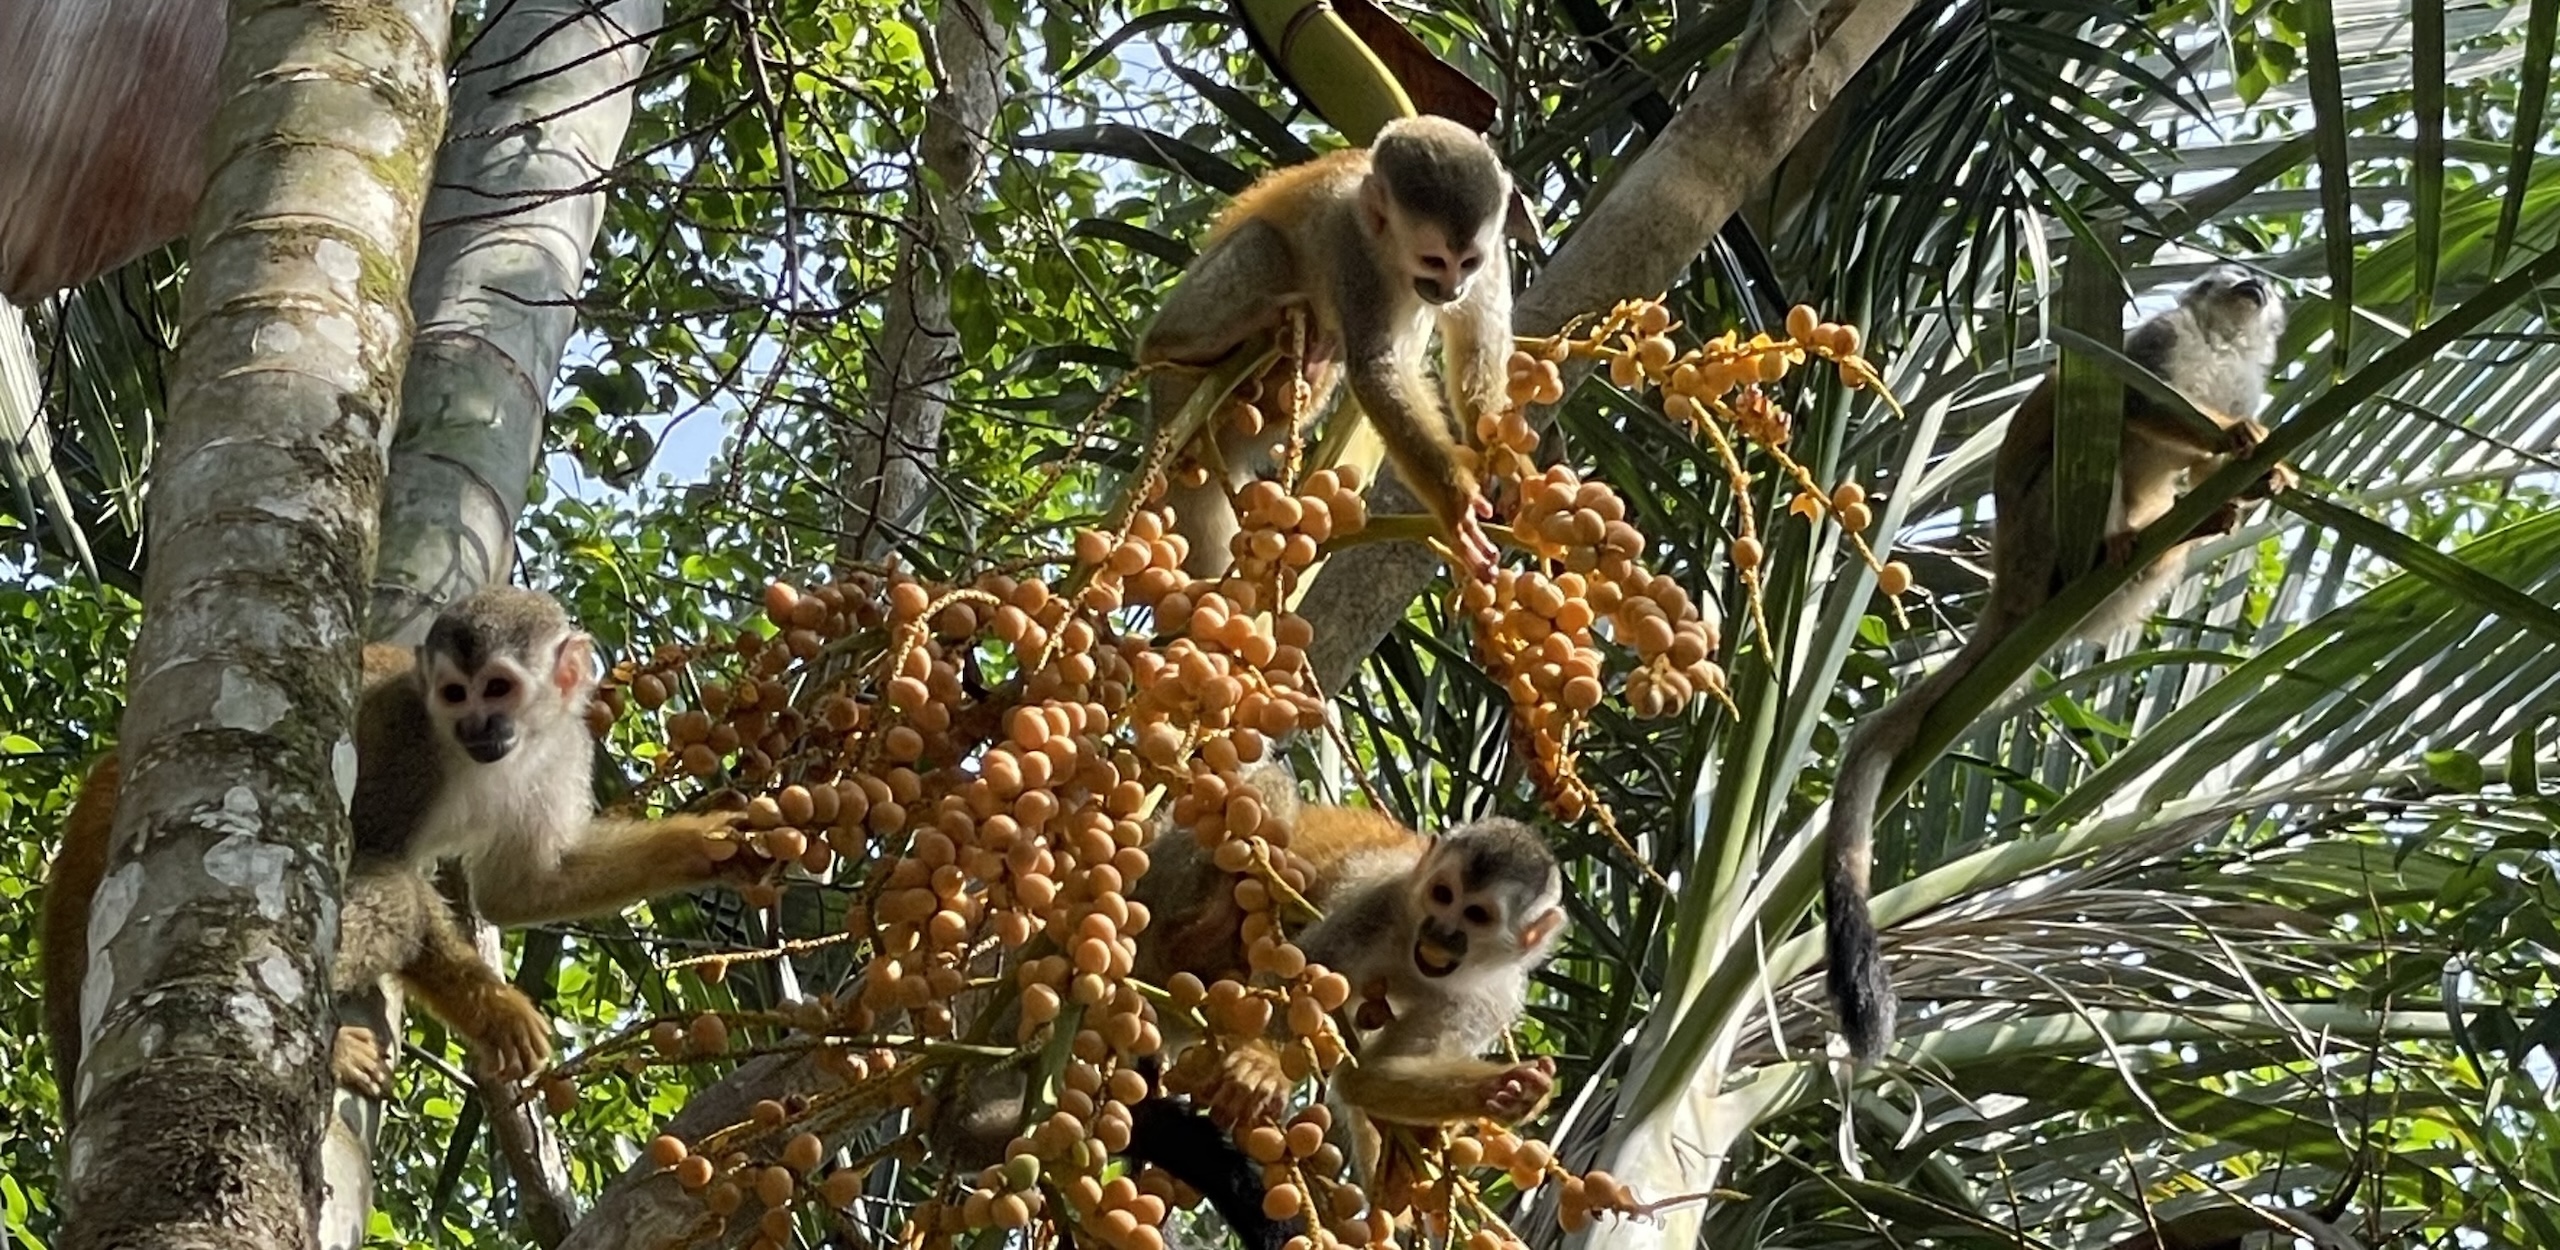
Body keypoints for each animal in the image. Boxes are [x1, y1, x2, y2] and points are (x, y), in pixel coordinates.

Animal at [42, 585, 753, 1117]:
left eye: (497, 688)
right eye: (454, 694)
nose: (477, 726)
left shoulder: (566, 745)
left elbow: (524, 888)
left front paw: (706, 847)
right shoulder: (402, 732)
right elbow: (367, 851)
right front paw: (491, 1008)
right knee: (375, 885)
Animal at [1140, 115, 1515, 582]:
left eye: (1468, 263)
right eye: (1433, 261)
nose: (1452, 290)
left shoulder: (1493, 249)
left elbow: (1480, 337)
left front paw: (1501, 458)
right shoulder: (1352, 249)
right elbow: (1373, 367)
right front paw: (1455, 506)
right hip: (1179, 351)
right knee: (1262, 243)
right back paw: (1199, 337)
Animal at [1823, 265, 2292, 1060]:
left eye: (2260, 281)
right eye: (2231, 275)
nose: (2253, 281)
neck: (2222, 346)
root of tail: (2010, 586)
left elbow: (2201, 460)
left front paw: (2256, 476)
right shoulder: (2162, 337)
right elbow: (2136, 401)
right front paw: (2236, 438)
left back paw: (2196, 528)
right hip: (2038, 534)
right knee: (2090, 455)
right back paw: (2107, 550)